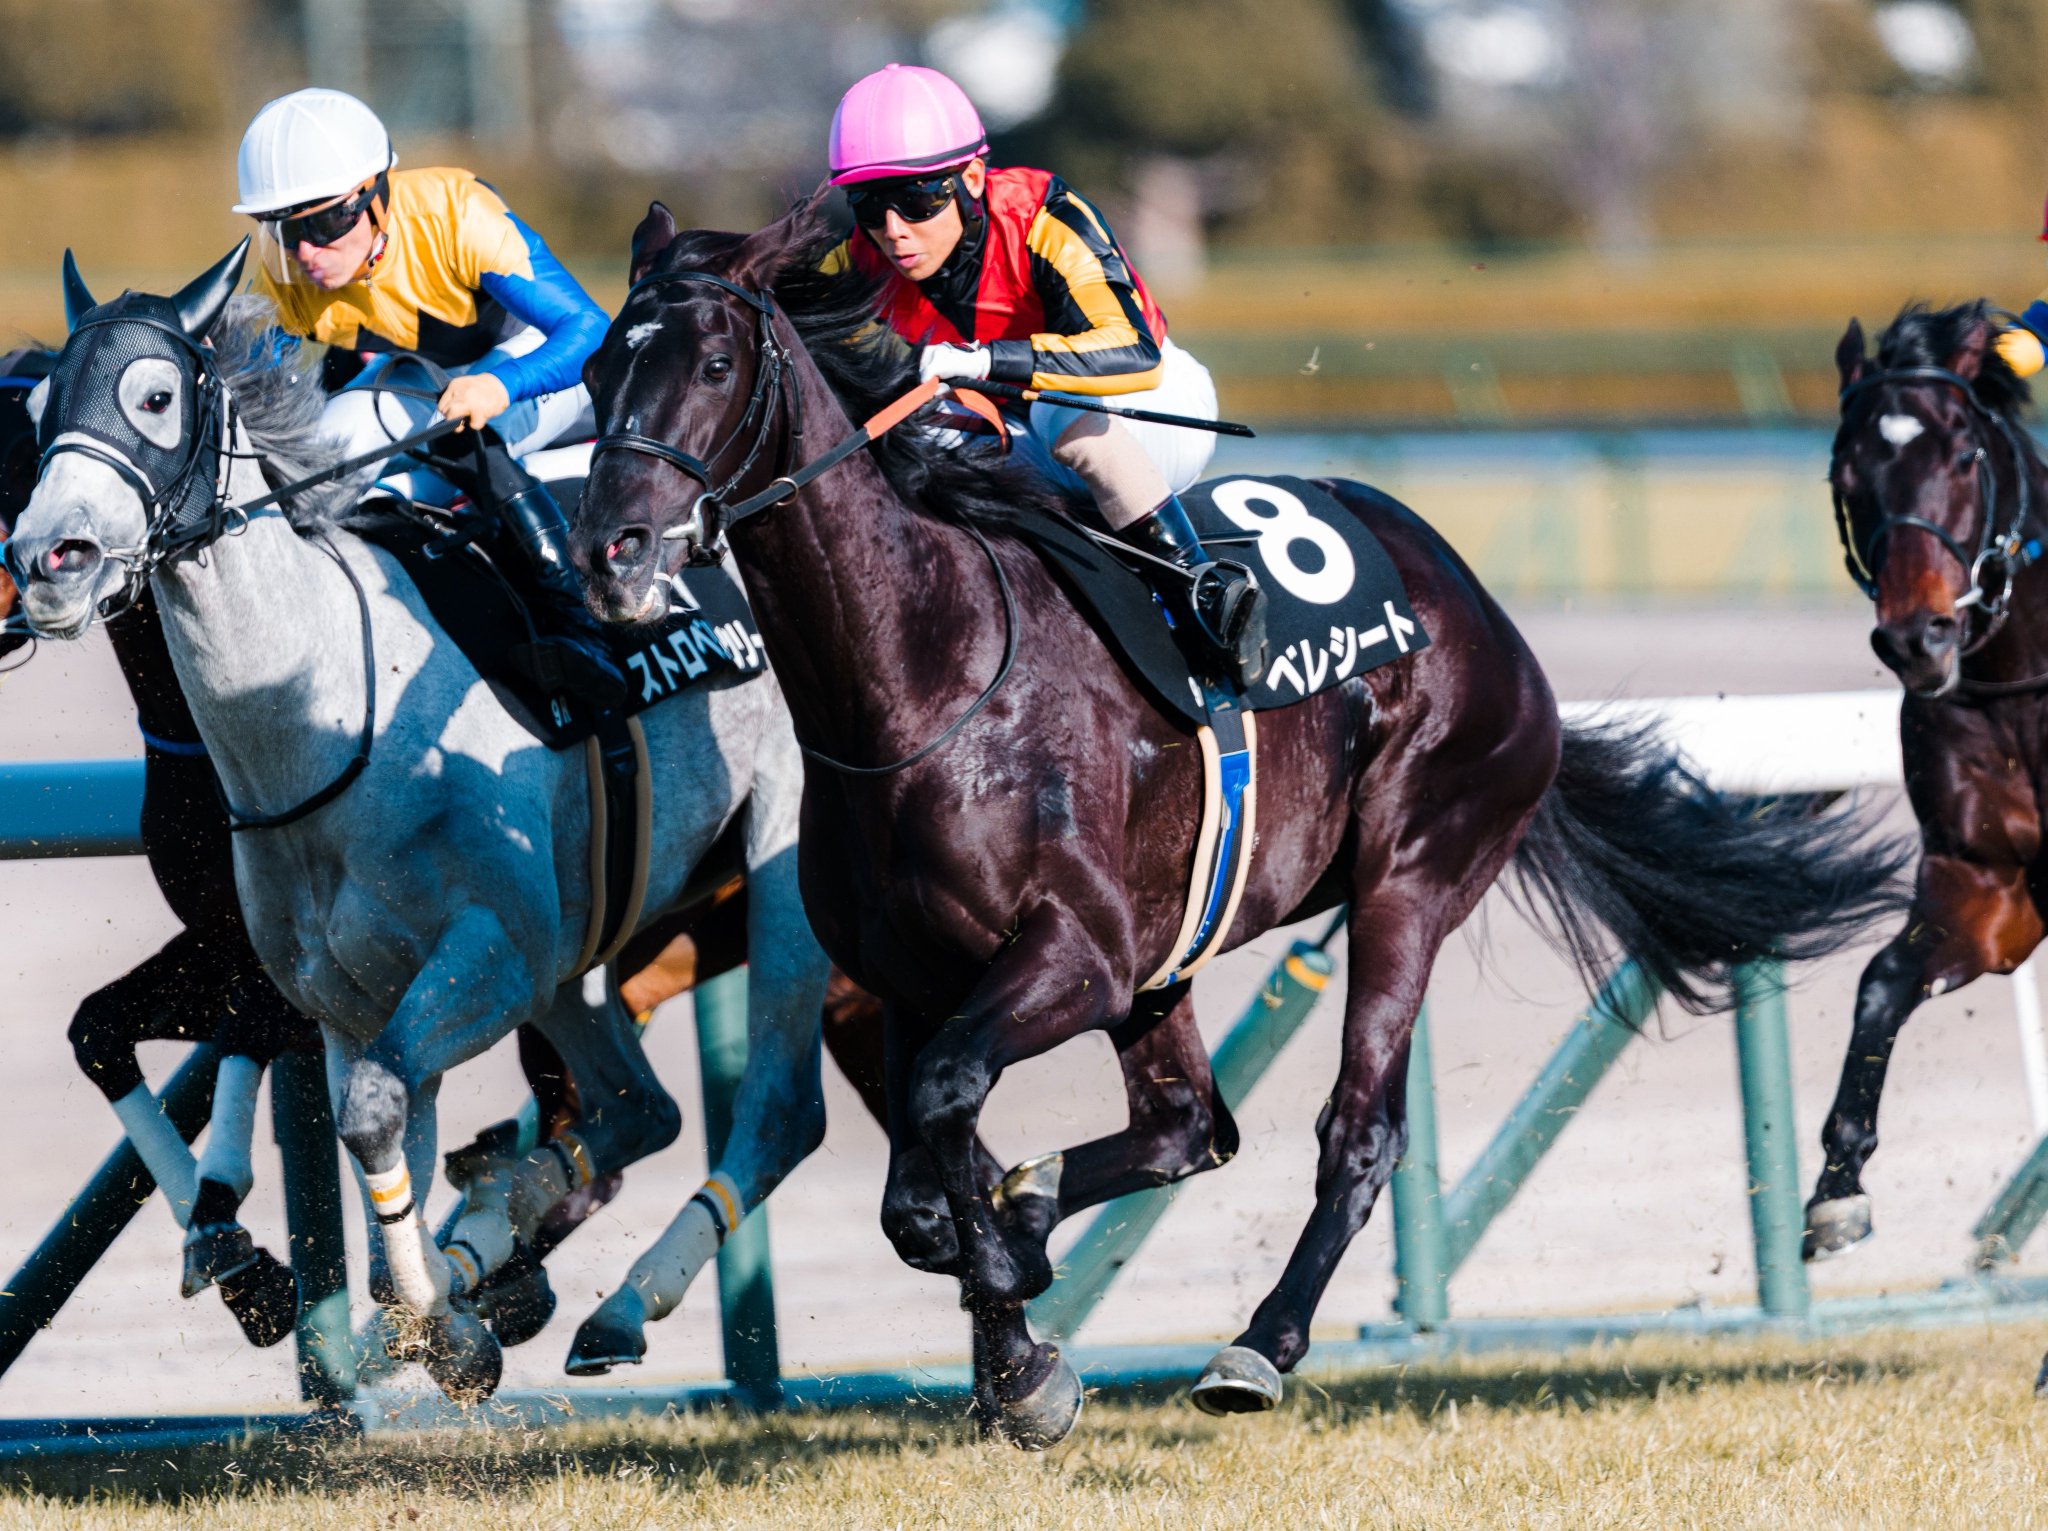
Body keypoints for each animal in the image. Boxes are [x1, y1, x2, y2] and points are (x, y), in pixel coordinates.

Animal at [7, 248, 832, 1402]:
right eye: (38, 412)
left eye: (156, 397)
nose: (51, 558)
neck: (334, 710)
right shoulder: (347, 998)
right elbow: (377, 1134)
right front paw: (440, 1306)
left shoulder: (484, 955)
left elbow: (364, 1116)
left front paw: (434, 1315)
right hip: (580, 948)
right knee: (636, 1105)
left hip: (777, 863)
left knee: (778, 1109)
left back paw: (618, 1301)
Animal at [567, 197, 1909, 1448]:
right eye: (592, 374)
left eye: (713, 363)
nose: (609, 551)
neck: (924, 671)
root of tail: (1490, 622)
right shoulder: (909, 972)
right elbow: (916, 1192)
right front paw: (1016, 1340)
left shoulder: (1080, 955)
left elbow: (950, 1101)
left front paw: (1014, 1310)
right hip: (1175, 957)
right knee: (1181, 1127)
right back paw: (1045, 1206)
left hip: (1410, 874)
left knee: (1355, 1130)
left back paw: (1254, 1344)